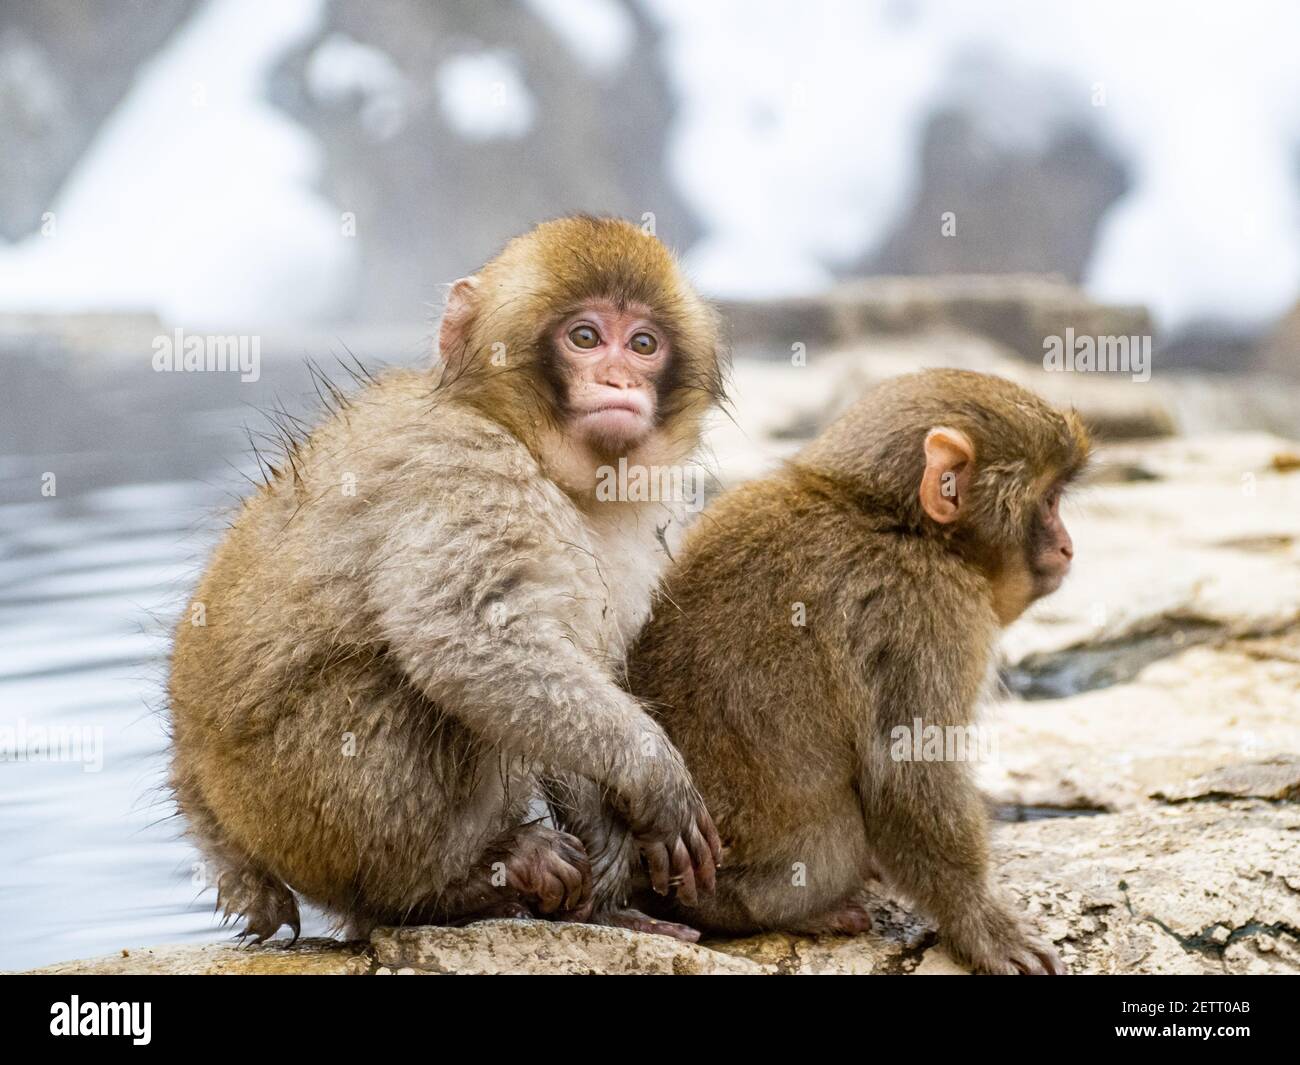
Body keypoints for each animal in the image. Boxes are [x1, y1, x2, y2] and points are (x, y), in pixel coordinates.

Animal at [167, 216, 725, 943]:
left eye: (643, 344)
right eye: (584, 338)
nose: (618, 379)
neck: (529, 446)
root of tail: (205, 797)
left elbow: (575, 674)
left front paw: (608, 885)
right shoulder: (468, 471)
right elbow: (466, 635)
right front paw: (653, 773)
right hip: (307, 806)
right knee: (421, 693)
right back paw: (448, 887)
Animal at [596, 369, 1088, 972]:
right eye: (1050, 500)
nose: (1067, 548)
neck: (887, 517)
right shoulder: (932, 609)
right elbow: (910, 774)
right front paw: (981, 921)